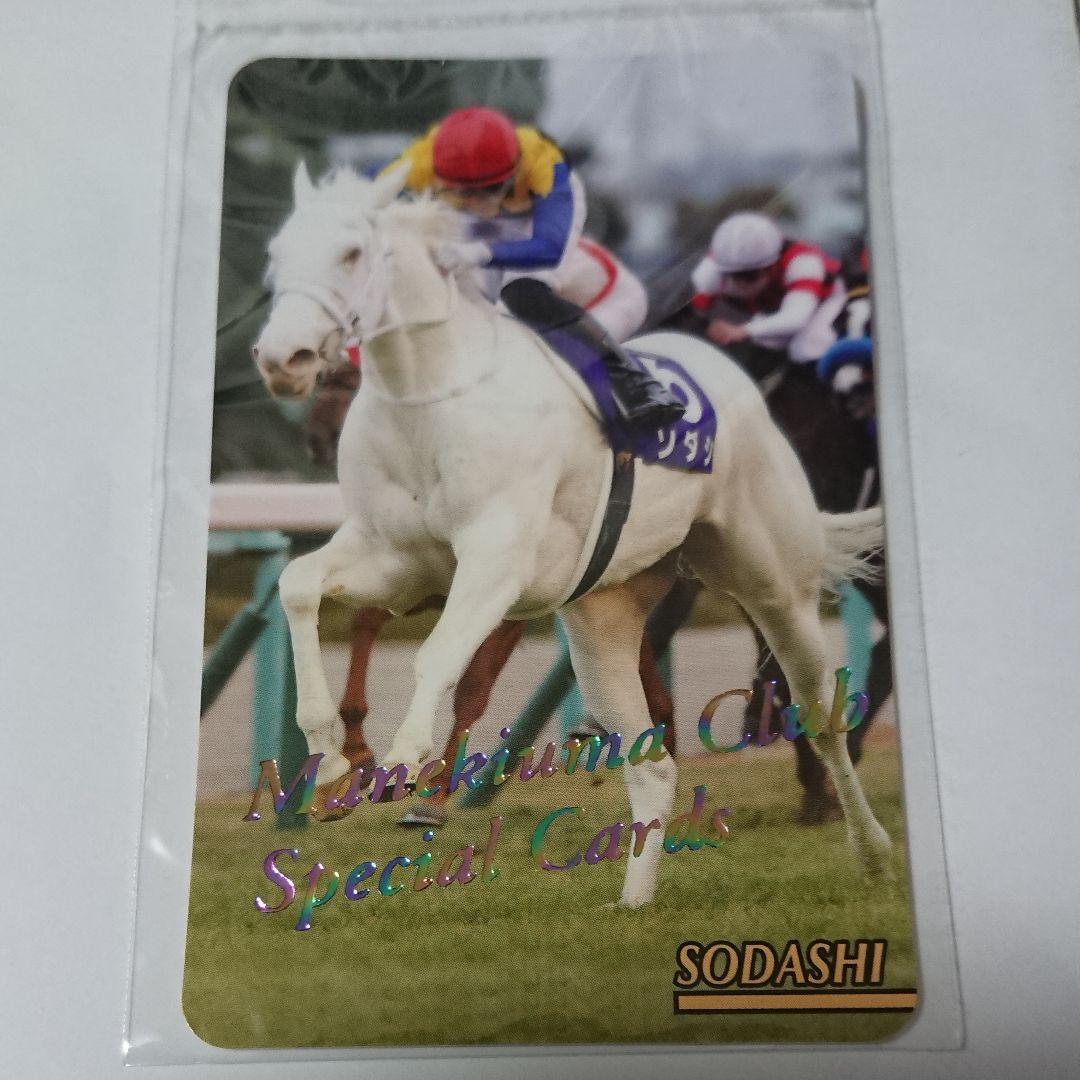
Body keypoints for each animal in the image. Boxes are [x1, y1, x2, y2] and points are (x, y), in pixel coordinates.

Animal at [251, 162, 892, 907]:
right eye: (275, 255)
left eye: (352, 253)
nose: (282, 357)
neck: (432, 397)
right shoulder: (398, 559)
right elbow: (299, 587)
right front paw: (329, 760)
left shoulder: (497, 560)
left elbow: (441, 656)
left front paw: (405, 758)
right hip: (602, 620)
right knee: (652, 765)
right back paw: (632, 902)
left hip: (776, 584)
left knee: (820, 716)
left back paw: (871, 849)